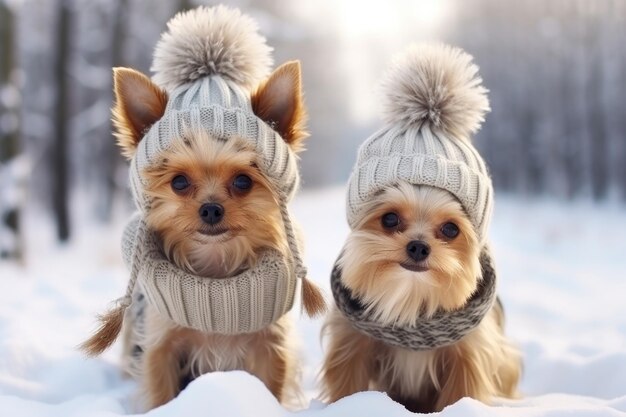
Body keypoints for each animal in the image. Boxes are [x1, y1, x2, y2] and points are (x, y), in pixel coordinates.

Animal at [78, 4, 326, 408]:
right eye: (179, 182)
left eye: (243, 181)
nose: (210, 209)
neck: (216, 275)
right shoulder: (162, 345)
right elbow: (160, 391)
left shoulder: (270, 345)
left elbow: (271, 387)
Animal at [320, 44, 520, 412]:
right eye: (389, 219)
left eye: (451, 230)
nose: (418, 246)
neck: (411, 300)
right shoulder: (351, 341)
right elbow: (348, 382)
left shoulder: (470, 351)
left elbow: (461, 391)